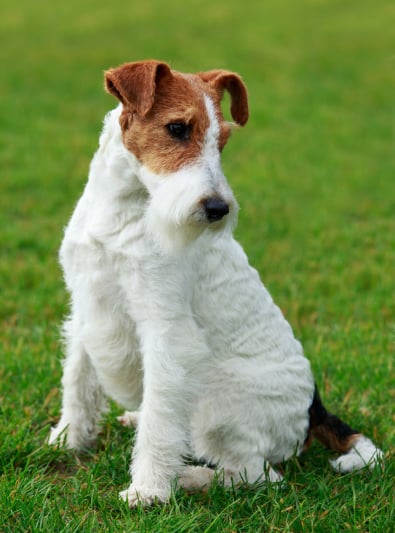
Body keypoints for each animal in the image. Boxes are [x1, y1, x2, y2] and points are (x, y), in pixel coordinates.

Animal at [48, 60, 384, 504]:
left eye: (222, 141)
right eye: (177, 128)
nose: (217, 209)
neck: (124, 210)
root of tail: (314, 409)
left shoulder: (165, 330)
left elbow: (160, 423)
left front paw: (148, 491)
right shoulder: (86, 304)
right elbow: (77, 383)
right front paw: (67, 439)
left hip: (217, 407)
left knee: (256, 476)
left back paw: (187, 479)